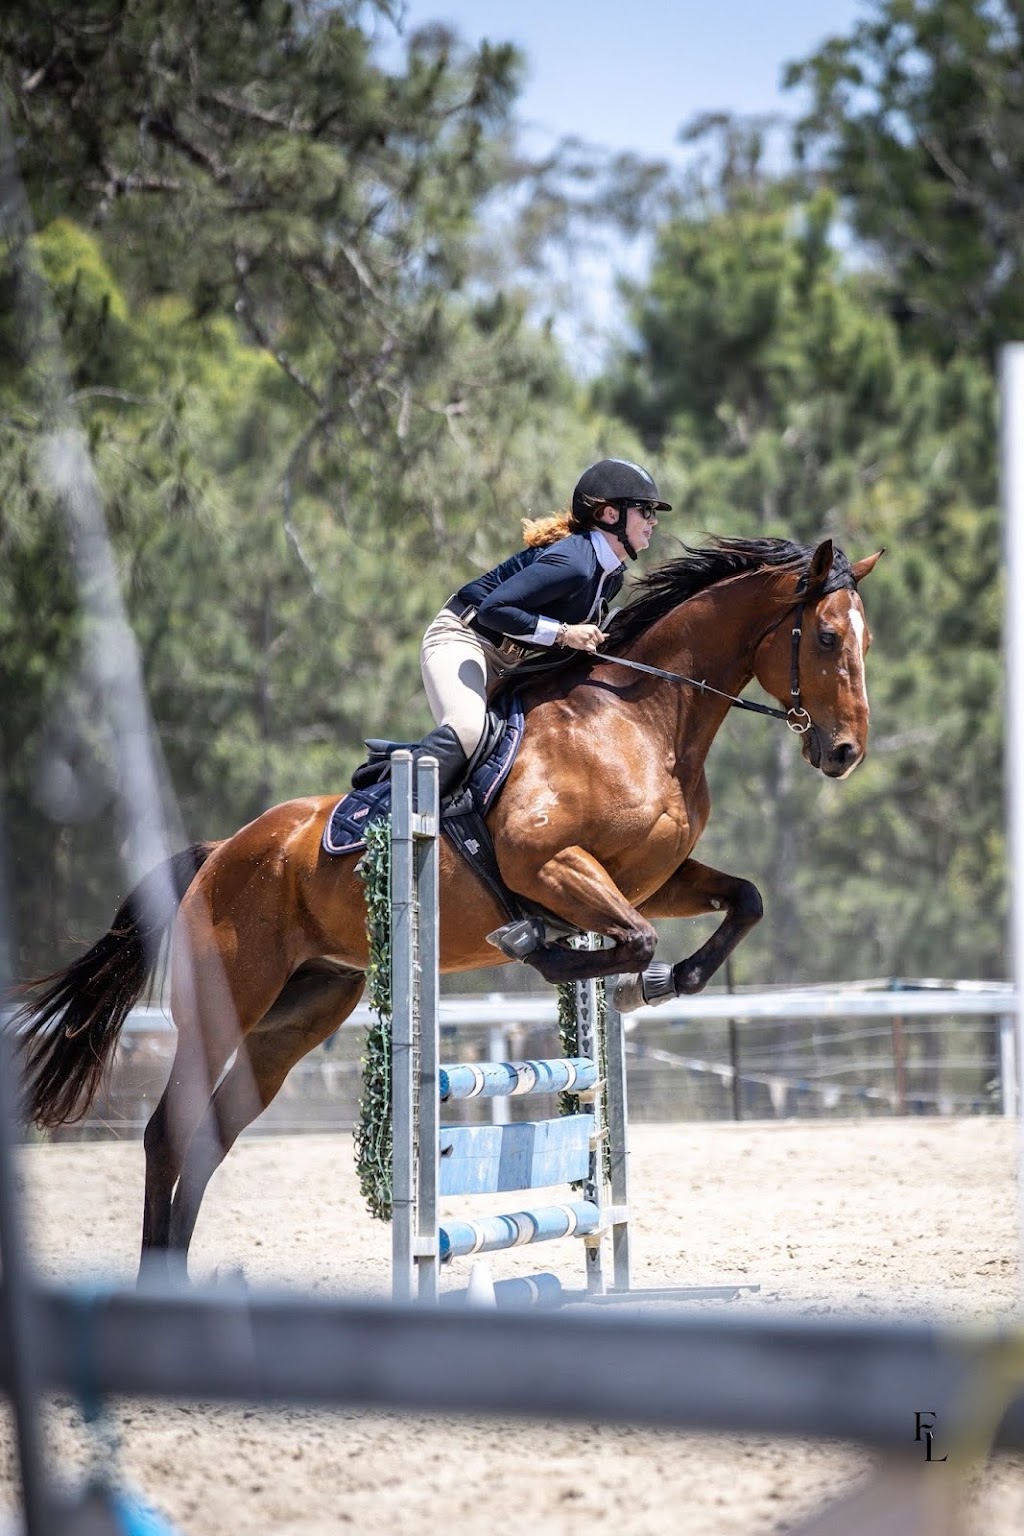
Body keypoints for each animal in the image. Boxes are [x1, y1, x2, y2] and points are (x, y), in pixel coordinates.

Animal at [16, 534, 881, 1278]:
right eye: (827, 638)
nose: (844, 754)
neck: (642, 721)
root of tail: (221, 851)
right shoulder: (553, 865)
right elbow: (628, 938)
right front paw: (548, 947)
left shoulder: (653, 877)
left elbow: (742, 902)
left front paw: (662, 985)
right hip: (225, 996)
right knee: (168, 1133)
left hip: (298, 1013)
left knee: (213, 1135)